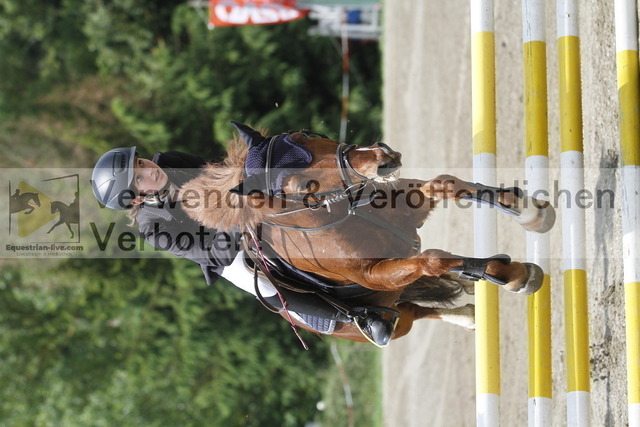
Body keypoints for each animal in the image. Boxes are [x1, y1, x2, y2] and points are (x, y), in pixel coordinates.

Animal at [181, 123, 555, 345]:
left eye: (303, 135)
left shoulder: (406, 210)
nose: (382, 158)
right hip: (390, 317)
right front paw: (513, 274)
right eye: (300, 186)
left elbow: (444, 184)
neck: (339, 213)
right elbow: (431, 261)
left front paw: (530, 211)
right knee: (414, 310)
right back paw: (466, 312)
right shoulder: (377, 274)